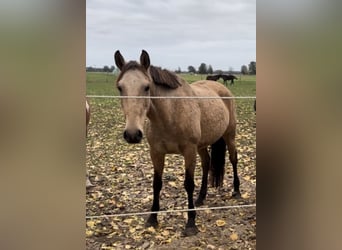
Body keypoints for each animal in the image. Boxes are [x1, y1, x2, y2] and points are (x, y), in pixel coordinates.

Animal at [113, 49, 239, 236]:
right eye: (120, 87)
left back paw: (236, 191)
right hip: (202, 146)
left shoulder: (189, 151)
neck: (170, 114)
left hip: (229, 135)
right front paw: (152, 218)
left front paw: (191, 223)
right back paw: (201, 198)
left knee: (233, 159)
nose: (132, 134)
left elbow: (188, 184)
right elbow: (156, 184)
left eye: (146, 87)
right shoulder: (156, 153)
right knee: (206, 163)